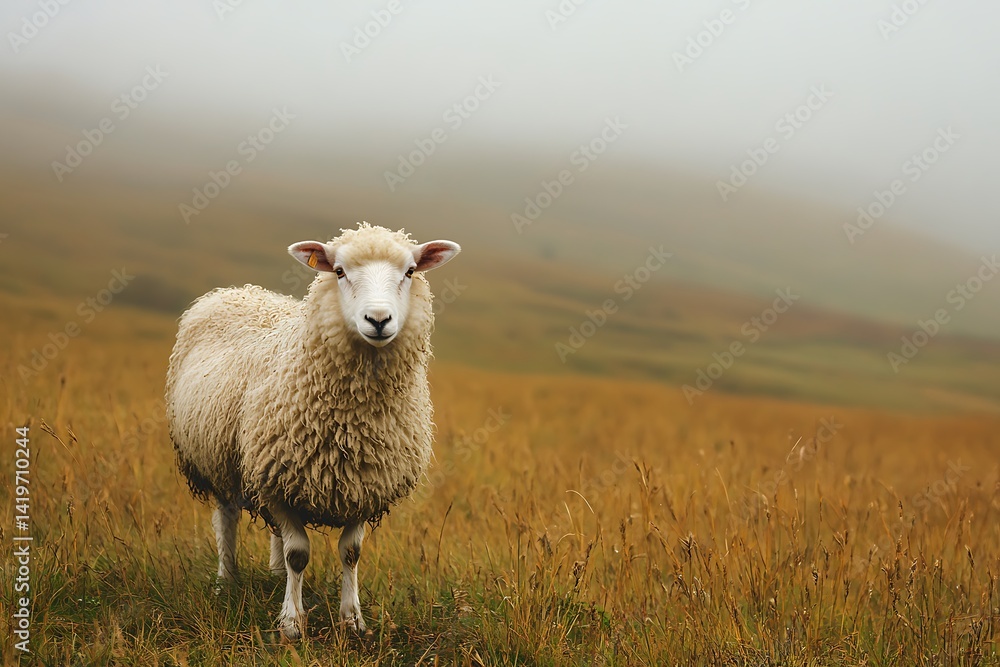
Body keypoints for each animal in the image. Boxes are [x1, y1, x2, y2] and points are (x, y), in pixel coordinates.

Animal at [165, 223, 460, 639]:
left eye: (410, 271)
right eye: (338, 271)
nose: (379, 319)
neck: (353, 424)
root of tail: (238, 291)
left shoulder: (361, 486)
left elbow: (350, 553)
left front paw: (352, 620)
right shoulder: (274, 481)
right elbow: (298, 554)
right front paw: (291, 623)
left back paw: (274, 576)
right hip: (221, 459)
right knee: (227, 519)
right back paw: (227, 580)